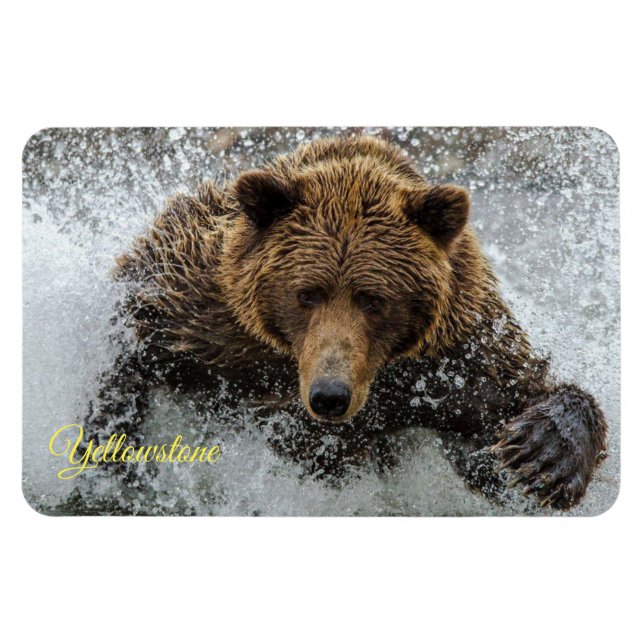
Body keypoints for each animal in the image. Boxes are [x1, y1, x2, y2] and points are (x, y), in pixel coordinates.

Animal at [87, 135, 607, 511]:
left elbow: (515, 397)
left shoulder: (455, 358)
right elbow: (134, 345)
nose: (329, 396)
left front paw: (542, 455)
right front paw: (110, 451)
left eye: (373, 299)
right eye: (306, 293)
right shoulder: (202, 311)